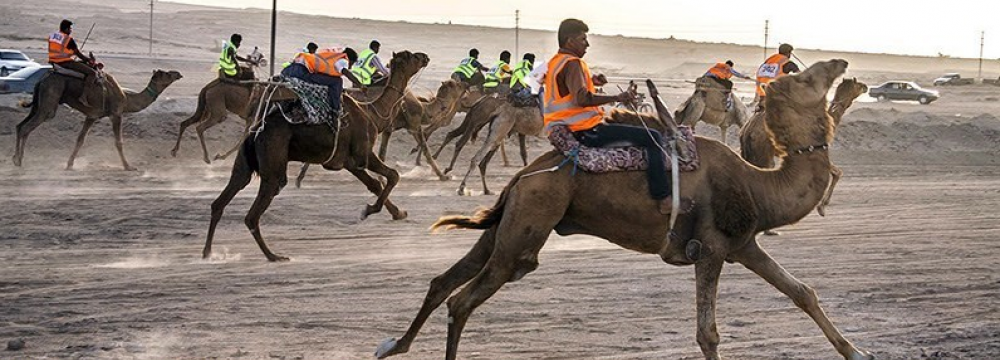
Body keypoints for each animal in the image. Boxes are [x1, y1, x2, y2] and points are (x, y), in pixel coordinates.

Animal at [13, 68, 184, 170]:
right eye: (167, 74)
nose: (178, 73)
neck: (127, 99)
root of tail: (42, 79)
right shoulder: (116, 114)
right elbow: (119, 142)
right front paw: (128, 166)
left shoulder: (92, 116)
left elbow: (80, 139)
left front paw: (69, 164)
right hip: (50, 100)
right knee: (27, 127)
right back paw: (19, 161)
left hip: (38, 103)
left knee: (20, 125)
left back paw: (16, 158)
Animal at [203, 50, 426, 262]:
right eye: (410, 56)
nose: (424, 57)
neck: (373, 114)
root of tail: (256, 131)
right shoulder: (363, 154)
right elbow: (392, 176)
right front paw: (370, 210)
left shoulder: (349, 162)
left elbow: (375, 184)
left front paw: (398, 213)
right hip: (273, 157)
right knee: (254, 212)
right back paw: (274, 256)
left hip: (244, 163)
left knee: (222, 199)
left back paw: (208, 252)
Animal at [376, 59, 876, 360]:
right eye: (808, 79)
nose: (842, 62)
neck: (757, 185)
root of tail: (523, 176)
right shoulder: (711, 248)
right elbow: (708, 332)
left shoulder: (742, 244)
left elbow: (802, 292)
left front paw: (859, 352)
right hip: (531, 222)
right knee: (464, 298)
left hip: (510, 221)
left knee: (446, 281)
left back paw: (394, 344)